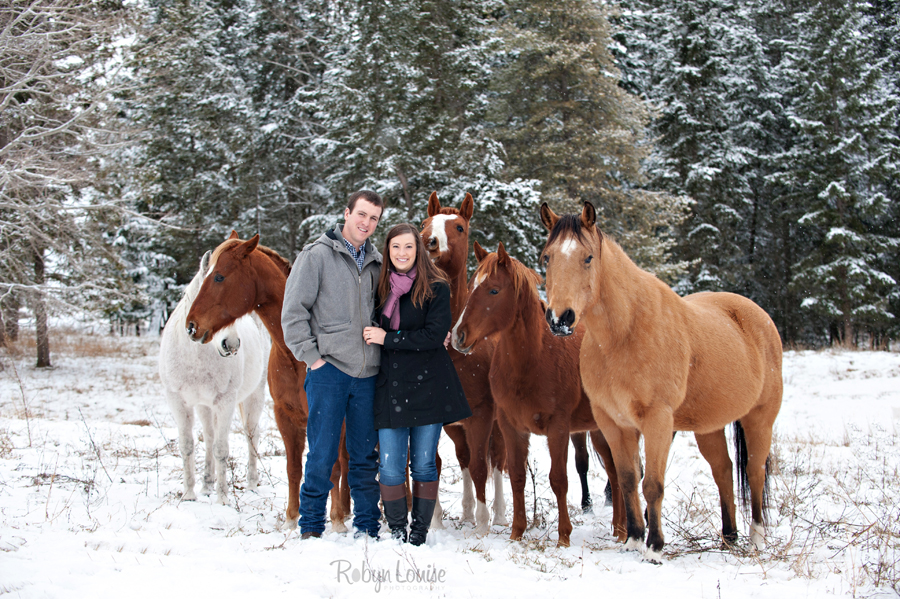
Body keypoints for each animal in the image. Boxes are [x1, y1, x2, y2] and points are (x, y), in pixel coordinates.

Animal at [158, 251, 270, 504]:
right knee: (208, 436)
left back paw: (251, 484)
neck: (196, 357)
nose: (232, 345)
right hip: (204, 405)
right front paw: (189, 495)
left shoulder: (225, 402)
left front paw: (223, 500)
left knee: (251, 434)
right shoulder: (178, 401)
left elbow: (221, 449)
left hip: (254, 395)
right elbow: (188, 445)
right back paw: (206, 485)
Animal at [185, 232, 350, 532]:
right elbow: (294, 468)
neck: (296, 356)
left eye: (219, 277)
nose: (191, 326)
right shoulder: (285, 416)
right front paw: (291, 519)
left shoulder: (329, 415)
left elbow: (332, 467)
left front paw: (335, 522)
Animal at [420, 192, 506, 536]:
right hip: (457, 427)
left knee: (497, 459)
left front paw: (483, 525)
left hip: (497, 423)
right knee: (464, 458)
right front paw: (434, 519)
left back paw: (498, 516)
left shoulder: (482, 415)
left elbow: (483, 466)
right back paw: (468, 512)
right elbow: (436, 464)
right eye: (424, 222)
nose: (427, 241)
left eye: (458, 227)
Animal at [454, 241, 624, 548]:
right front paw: (516, 532)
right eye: (471, 286)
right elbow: (517, 476)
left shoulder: (558, 428)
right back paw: (618, 528)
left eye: (494, 290)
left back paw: (625, 530)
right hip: (599, 431)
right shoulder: (511, 427)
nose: (459, 336)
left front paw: (564, 536)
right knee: (615, 474)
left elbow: (559, 479)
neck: (532, 361)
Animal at [536, 203, 784, 564]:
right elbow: (627, 479)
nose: (560, 319)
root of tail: (758, 315)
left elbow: (652, 483)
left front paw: (654, 547)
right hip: (708, 427)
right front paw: (633, 539)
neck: (624, 333)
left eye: (588, 257)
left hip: (760, 418)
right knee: (723, 470)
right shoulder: (614, 423)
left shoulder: (657, 421)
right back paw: (729, 537)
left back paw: (756, 539)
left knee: (754, 472)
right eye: (547, 257)